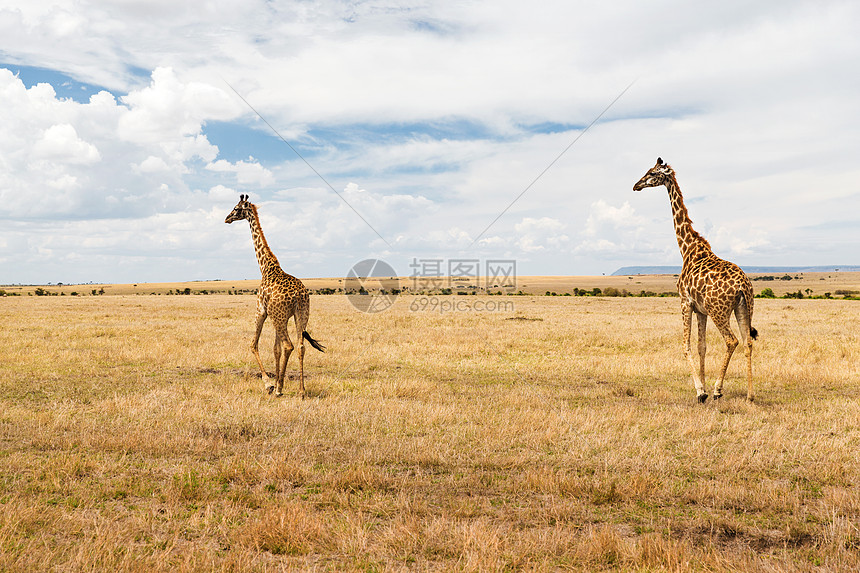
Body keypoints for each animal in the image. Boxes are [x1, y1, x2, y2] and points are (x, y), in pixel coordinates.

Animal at [225, 193, 326, 398]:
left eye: (236, 208)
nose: (226, 218)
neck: (265, 267)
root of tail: (298, 295)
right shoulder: (281, 316)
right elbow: (275, 349)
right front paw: (278, 382)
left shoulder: (262, 311)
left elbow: (254, 344)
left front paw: (270, 384)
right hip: (301, 314)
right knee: (300, 346)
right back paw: (301, 390)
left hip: (278, 317)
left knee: (288, 345)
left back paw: (278, 389)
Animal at [632, 158, 760, 402]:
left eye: (651, 173)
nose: (636, 185)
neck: (687, 249)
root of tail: (742, 285)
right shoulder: (701, 310)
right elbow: (702, 346)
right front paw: (703, 386)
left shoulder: (685, 302)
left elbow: (686, 345)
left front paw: (701, 391)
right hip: (743, 308)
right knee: (747, 342)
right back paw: (749, 395)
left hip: (719, 310)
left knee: (732, 341)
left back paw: (719, 390)